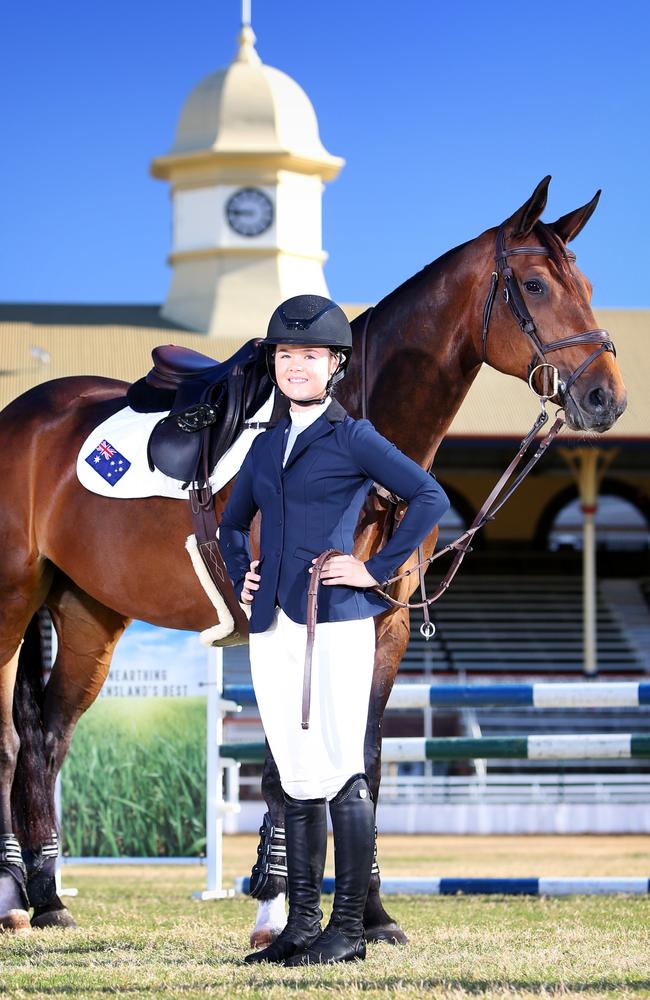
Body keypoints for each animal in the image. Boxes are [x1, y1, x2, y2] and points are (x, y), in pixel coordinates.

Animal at [0, 176, 628, 932]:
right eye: (534, 285)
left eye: (587, 285)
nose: (606, 397)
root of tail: (24, 414)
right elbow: (286, 763)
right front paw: (278, 903)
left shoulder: (383, 626)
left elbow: (365, 753)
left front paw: (371, 913)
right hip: (9, 603)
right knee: (9, 742)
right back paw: (16, 895)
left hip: (89, 614)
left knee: (47, 737)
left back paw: (48, 896)